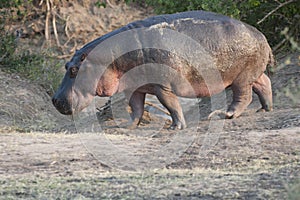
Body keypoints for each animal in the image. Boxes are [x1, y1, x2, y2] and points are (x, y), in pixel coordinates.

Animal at [52, 10, 274, 130]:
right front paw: (128, 126)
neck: (110, 58)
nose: (54, 99)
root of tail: (260, 35)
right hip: (252, 73)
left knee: (243, 96)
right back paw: (265, 108)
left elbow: (171, 105)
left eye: (74, 70)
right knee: (264, 83)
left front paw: (175, 127)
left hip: (241, 77)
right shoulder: (135, 87)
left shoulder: (161, 86)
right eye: (66, 66)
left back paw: (223, 115)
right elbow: (136, 108)